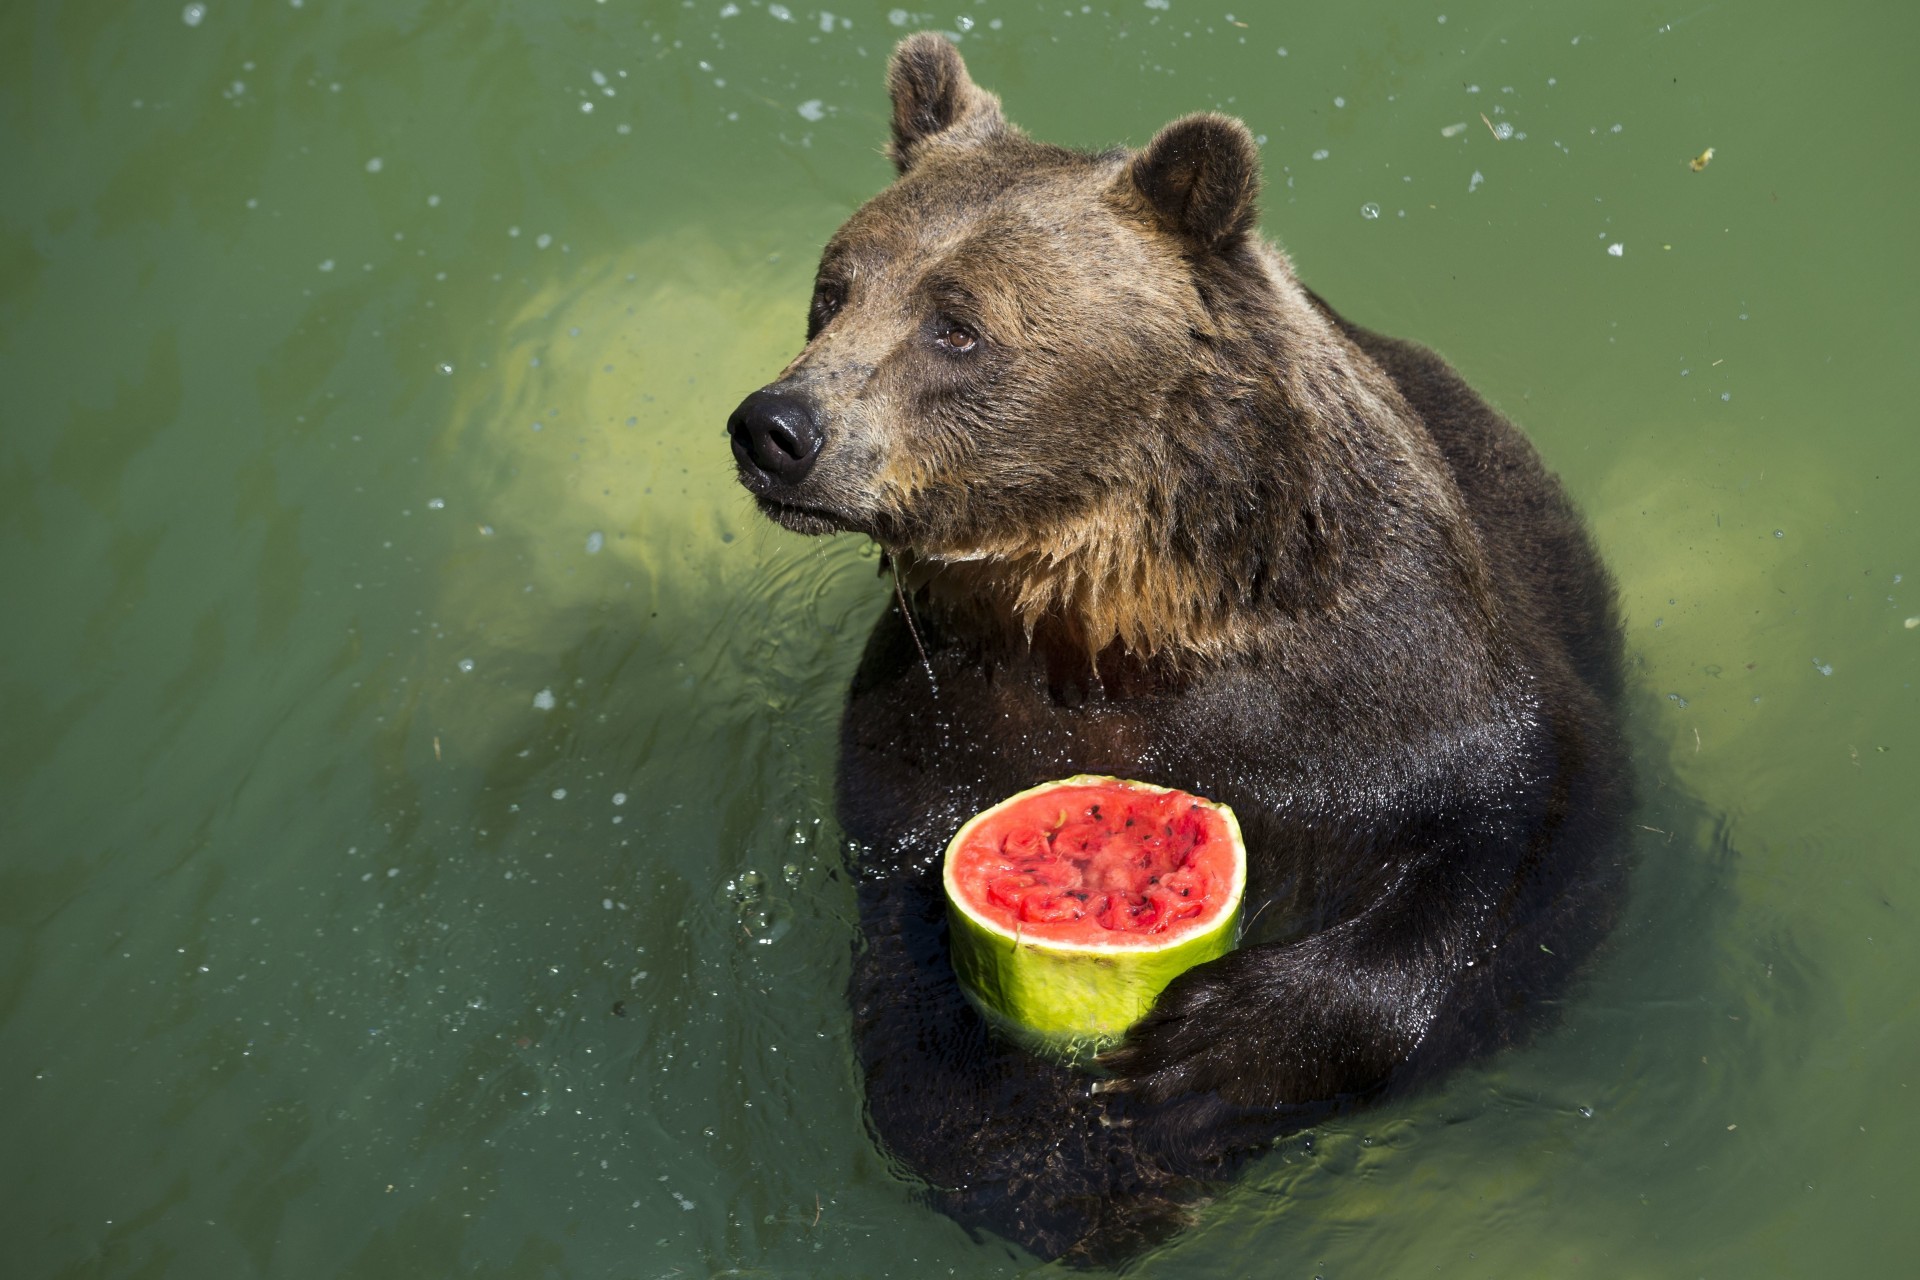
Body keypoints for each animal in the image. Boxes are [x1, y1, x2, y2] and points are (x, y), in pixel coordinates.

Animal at [725, 35, 1628, 1266]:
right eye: (836, 288)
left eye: (956, 323)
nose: (776, 427)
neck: (1115, 613)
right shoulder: (941, 702)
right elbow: (903, 919)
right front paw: (1012, 1141)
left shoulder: (1389, 681)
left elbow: (1522, 830)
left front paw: (1205, 1057)